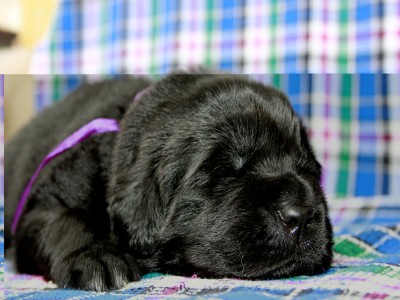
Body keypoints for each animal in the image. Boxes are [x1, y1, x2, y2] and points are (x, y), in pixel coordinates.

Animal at [4, 72, 332, 290]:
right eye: (225, 171)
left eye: (307, 167)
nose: (301, 216)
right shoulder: (48, 197)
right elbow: (61, 219)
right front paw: (97, 257)